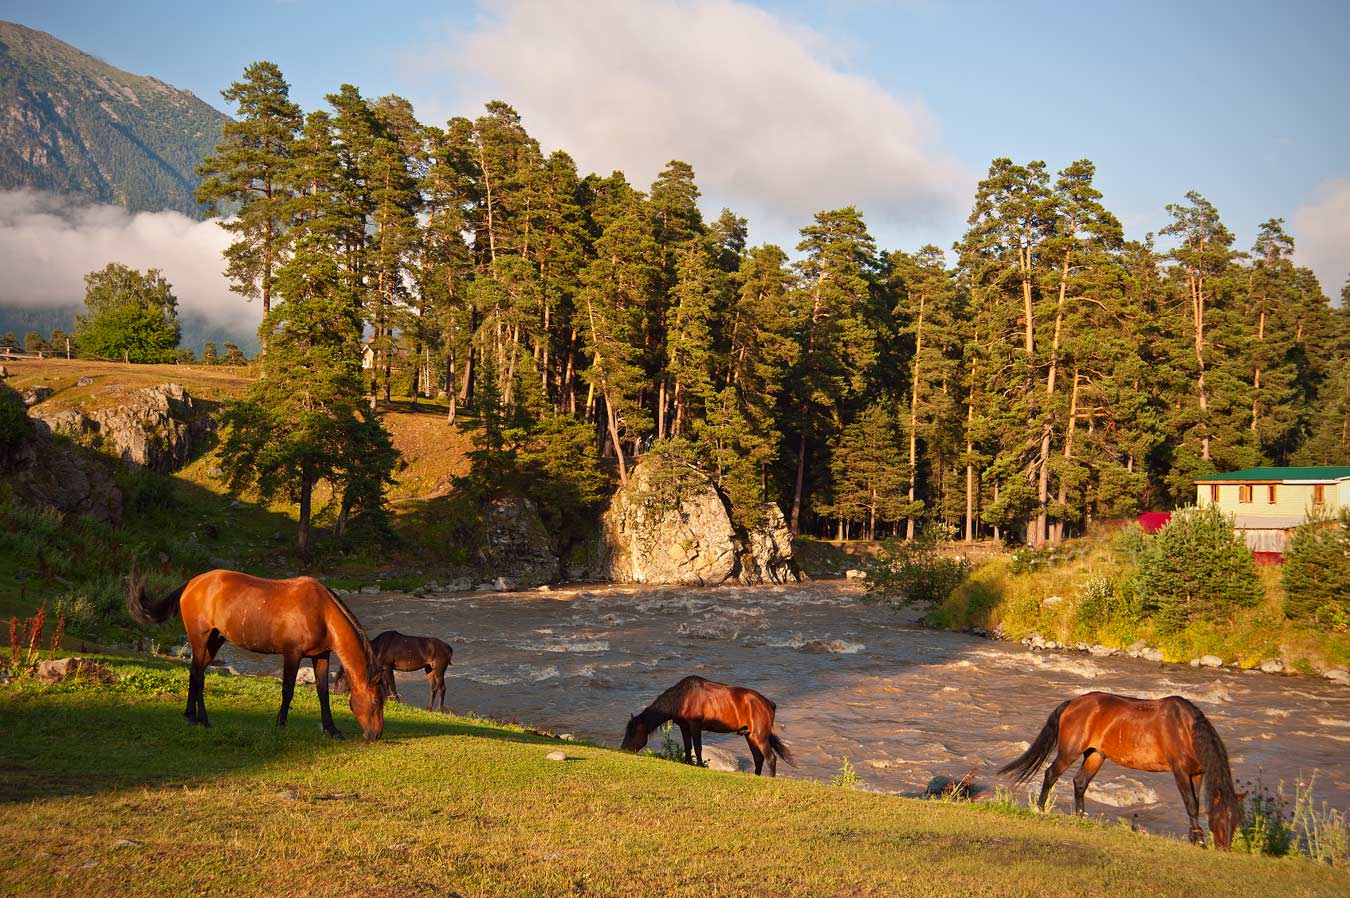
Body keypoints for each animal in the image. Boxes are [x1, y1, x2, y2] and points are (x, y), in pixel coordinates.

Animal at [126, 564, 386, 740]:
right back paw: (203, 719)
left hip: (214, 641)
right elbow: (288, 690)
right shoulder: (292, 654)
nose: (376, 735)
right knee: (198, 675)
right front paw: (281, 724)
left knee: (194, 673)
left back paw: (191, 716)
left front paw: (332, 729)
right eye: (376, 700)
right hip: (199, 639)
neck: (321, 611)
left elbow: (323, 693)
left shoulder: (320, 655)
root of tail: (192, 583)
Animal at [618, 675, 793, 772]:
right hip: (749, 735)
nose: (622, 750)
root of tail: (769, 703)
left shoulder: (695, 726)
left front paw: (700, 765)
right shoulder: (684, 727)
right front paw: (688, 763)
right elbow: (688, 748)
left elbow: (698, 748)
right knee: (758, 759)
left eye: (633, 732)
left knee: (771, 758)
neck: (681, 697)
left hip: (760, 736)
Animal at [999, 688, 1236, 842]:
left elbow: (1195, 804)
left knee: (1079, 782)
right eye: (1219, 819)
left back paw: (1081, 816)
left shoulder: (1196, 774)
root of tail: (1072, 703)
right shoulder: (1180, 772)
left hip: (1095, 755)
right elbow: (1191, 804)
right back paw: (1039, 809)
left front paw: (1195, 838)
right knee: (1050, 774)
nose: (1224, 848)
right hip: (1069, 752)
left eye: (1234, 820)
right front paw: (1199, 840)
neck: (1185, 728)